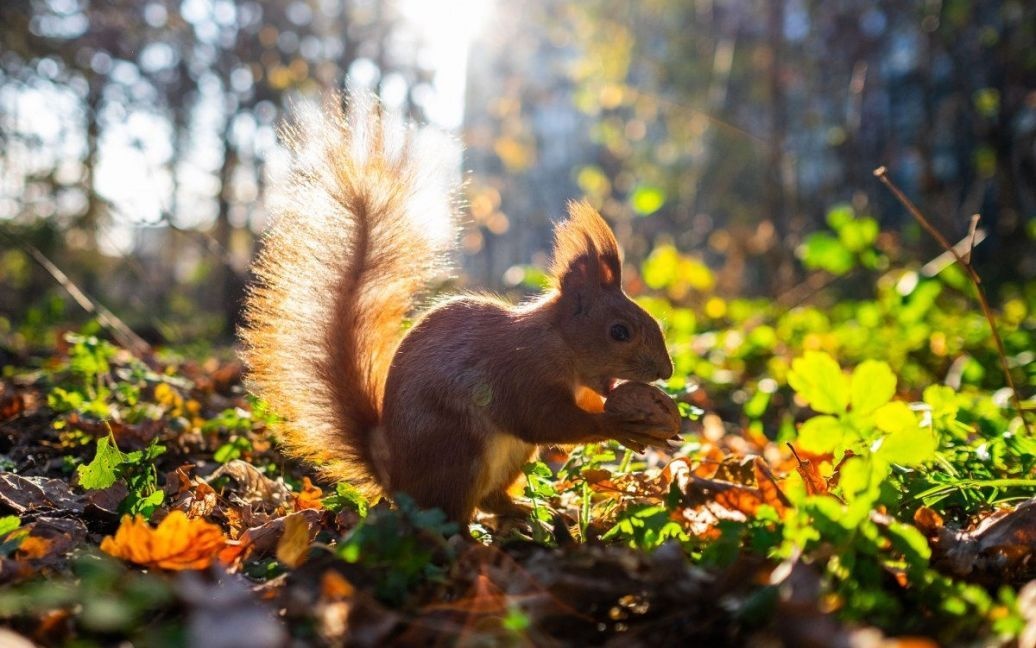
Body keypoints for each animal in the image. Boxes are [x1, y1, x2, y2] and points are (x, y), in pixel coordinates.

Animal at [238, 94, 675, 520]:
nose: (666, 372)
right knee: (449, 517)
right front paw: (619, 422)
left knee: (489, 500)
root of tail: (395, 480)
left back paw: (528, 515)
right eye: (619, 331)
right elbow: (544, 419)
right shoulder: (519, 372)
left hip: (510, 457)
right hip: (458, 452)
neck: (557, 341)